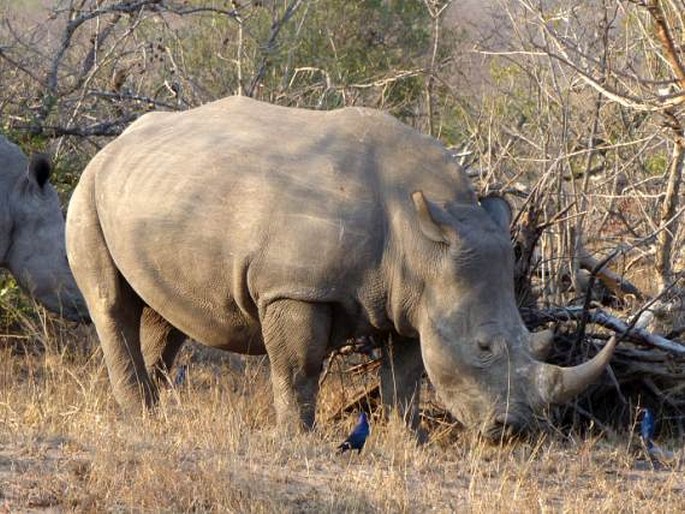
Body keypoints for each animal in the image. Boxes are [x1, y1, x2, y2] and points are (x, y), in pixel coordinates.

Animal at [67, 96, 616, 436]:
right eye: (483, 347)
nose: (514, 430)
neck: (424, 238)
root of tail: (116, 142)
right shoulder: (293, 287)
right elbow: (299, 366)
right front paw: (298, 439)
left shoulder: (413, 300)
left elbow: (405, 376)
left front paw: (409, 442)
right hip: (89, 186)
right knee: (111, 305)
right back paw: (138, 415)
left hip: (160, 191)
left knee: (166, 317)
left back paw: (154, 412)